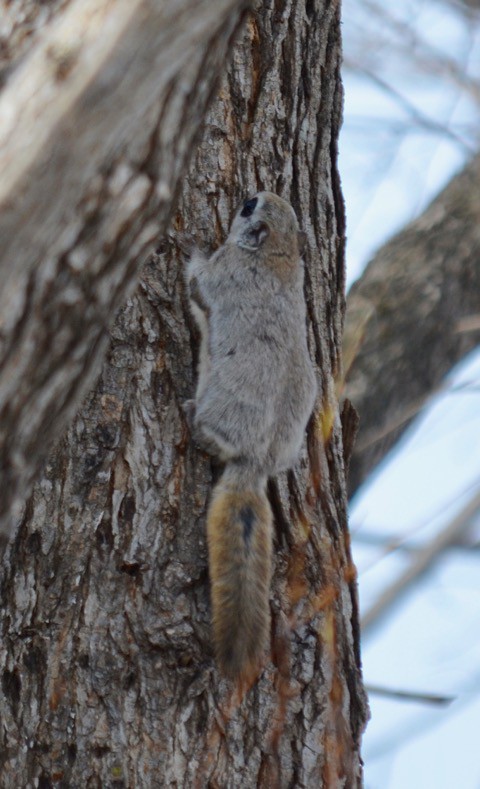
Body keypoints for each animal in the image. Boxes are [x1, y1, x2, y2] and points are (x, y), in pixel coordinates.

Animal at [186, 191, 316, 676]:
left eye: (248, 206)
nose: (249, 192)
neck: (279, 254)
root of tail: (257, 462)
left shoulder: (223, 273)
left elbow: (197, 283)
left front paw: (185, 245)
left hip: (224, 406)